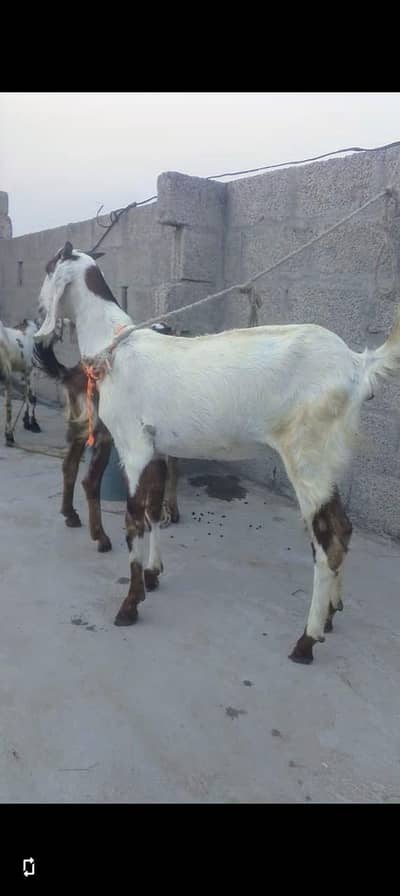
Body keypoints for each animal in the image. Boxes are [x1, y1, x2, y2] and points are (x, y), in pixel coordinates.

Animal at [36, 241, 400, 664]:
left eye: (49, 268)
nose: (38, 312)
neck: (116, 349)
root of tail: (359, 365)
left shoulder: (133, 445)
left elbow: (134, 520)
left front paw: (129, 604)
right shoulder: (157, 448)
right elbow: (154, 511)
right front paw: (153, 573)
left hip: (306, 455)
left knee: (328, 540)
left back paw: (306, 641)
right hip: (330, 459)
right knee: (343, 530)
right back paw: (329, 614)